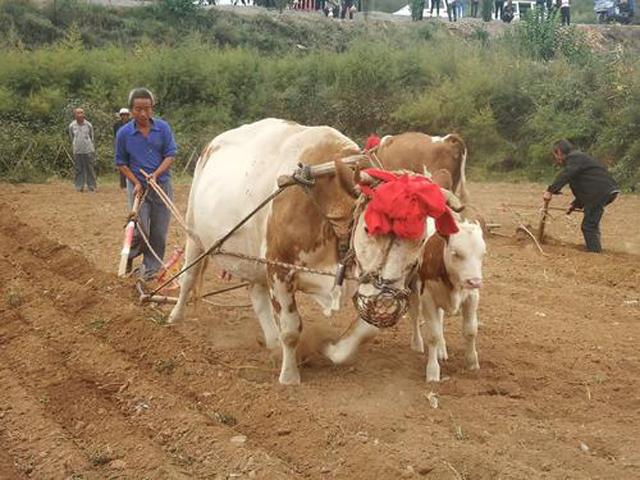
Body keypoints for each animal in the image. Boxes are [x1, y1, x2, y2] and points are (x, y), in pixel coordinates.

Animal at [168, 120, 438, 386]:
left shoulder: (358, 278)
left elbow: (367, 330)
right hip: (194, 234)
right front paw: (289, 376)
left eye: (420, 238)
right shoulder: (279, 268)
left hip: (253, 258)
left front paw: (332, 350)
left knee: (256, 293)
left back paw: (272, 342)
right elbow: (290, 328)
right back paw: (175, 318)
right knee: (188, 278)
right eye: (369, 228)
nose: (385, 300)